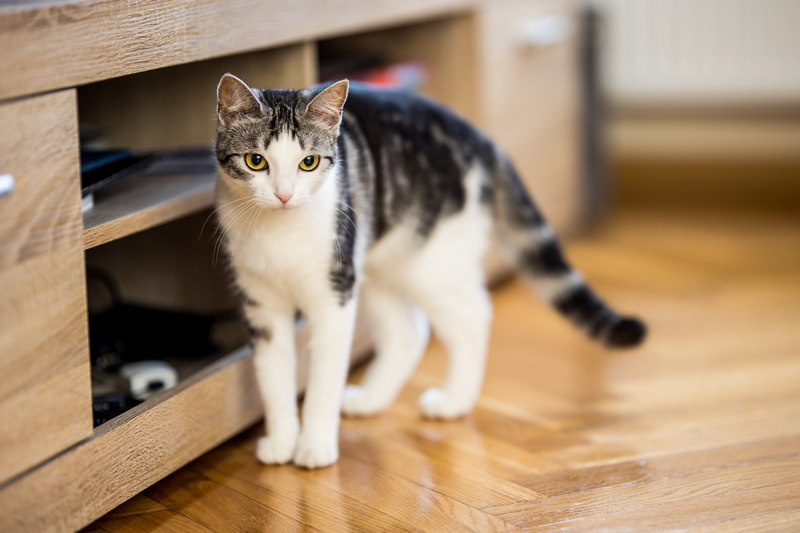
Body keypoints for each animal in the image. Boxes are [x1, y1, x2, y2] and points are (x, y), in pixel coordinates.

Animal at [214, 73, 646, 469]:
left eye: (309, 162)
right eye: (256, 161)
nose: (284, 195)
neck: (279, 234)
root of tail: (479, 135)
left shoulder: (334, 294)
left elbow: (324, 377)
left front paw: (315, 445)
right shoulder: (261, 305)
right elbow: (273, 375)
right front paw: (281, 441)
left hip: (430, 262)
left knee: (473, 317)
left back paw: (454, 401)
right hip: (379, 265)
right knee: (409, 332)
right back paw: (371, 400)